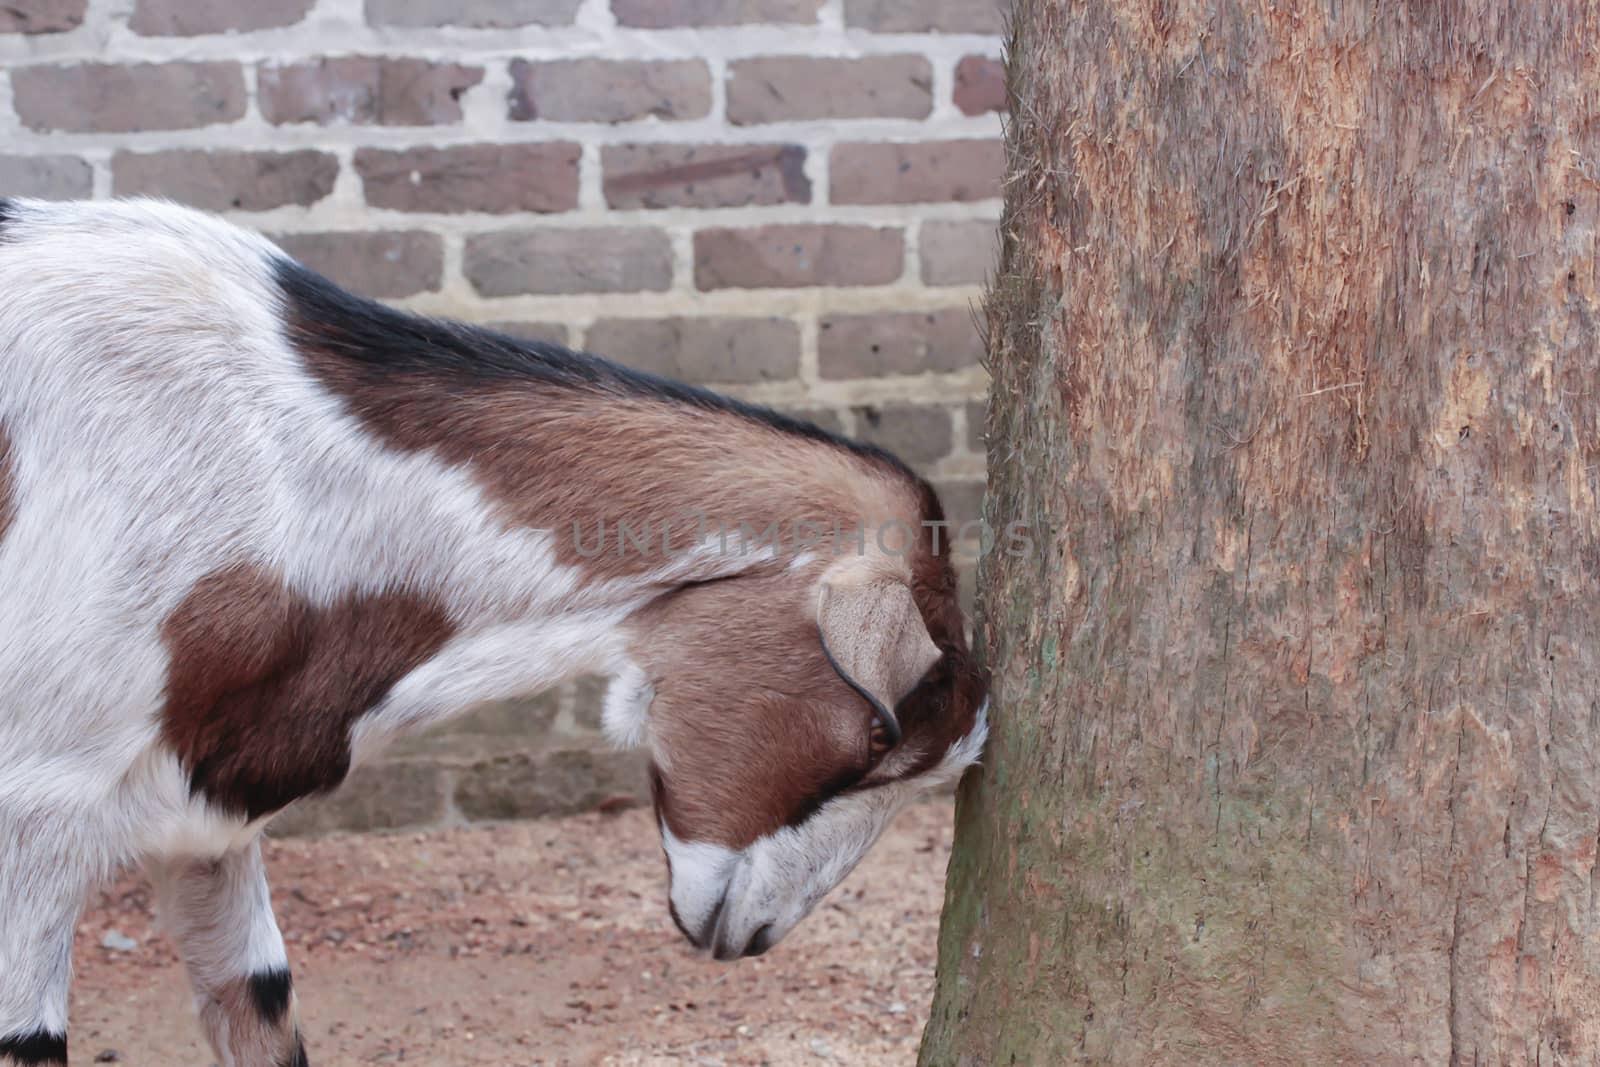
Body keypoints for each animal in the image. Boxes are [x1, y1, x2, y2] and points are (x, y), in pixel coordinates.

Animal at [0, 195, 985, 1062]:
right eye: (877, 738)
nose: (758, 932)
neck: (286, 464)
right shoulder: (36, 807)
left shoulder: (207, 816)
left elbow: (262, 1008)